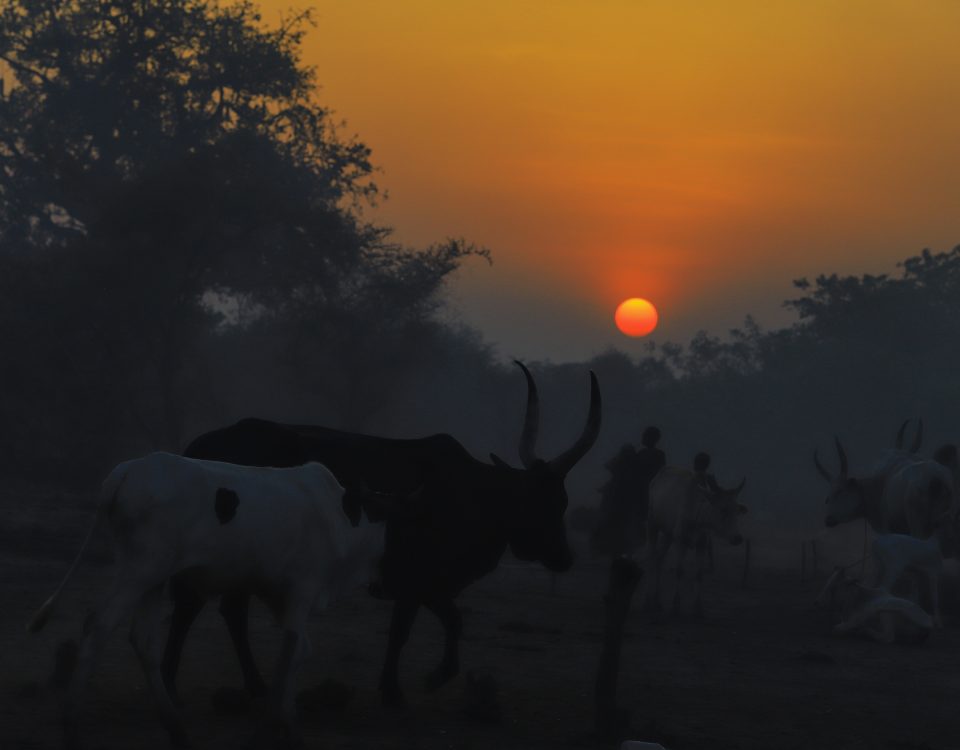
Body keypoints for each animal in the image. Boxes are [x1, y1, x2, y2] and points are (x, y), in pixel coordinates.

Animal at [27, 453, 385, 748]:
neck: (338, 515)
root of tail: (126, 471)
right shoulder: (302, 590)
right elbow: (289, 652)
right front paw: (268, 730)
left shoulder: (279, 596)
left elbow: (299, 651)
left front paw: (290, 726)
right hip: (140, 570)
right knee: (99, 624)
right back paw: (71, 726)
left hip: (153, 579)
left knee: (142, 639)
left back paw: (175, 728)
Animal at [169, 361, 601, 706]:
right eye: (549, 502)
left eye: (561, 500)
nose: (565, 557)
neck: (471, 491)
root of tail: (200, 445)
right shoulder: (416, 579)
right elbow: (411, 631)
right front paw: (404, 688)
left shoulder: (425, 584)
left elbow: (444, 623)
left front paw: (421, 680)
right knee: (203, 607)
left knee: (225, 611)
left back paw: (246, 684)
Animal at [645, 462, 747, 616]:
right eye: (722, 509)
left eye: (737, 510)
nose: (737, 538)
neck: (698, 517)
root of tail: (655, 478)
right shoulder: (681, 540)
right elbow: (679, 570)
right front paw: (676, 605)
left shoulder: (702, 544)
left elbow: (699, 574)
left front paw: (698, 608)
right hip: (653, 524)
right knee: (651, 557)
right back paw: (649, 601)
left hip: (668, 534)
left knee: (659, 558)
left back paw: (658, 601)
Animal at [814, 436, 954, 538]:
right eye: (827, 498)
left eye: (841, 491)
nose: (828, 520)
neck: (879, 485)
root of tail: (936, 477)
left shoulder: (888, 528)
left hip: (918, 526)